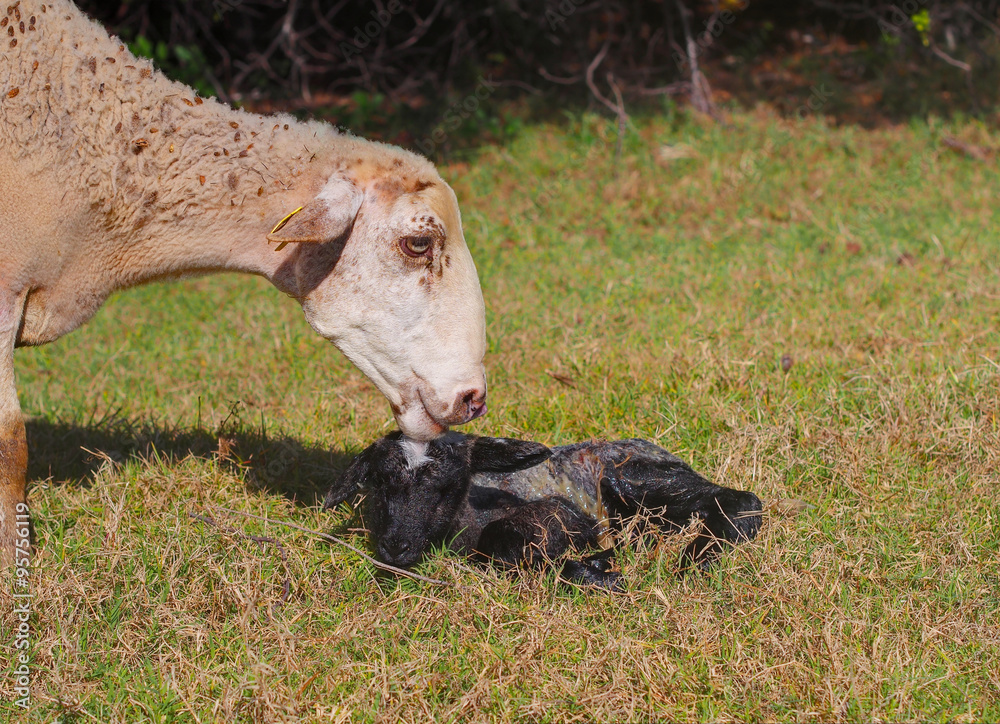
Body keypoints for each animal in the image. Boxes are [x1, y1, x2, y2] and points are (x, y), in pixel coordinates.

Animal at [324, 432, 763, 590]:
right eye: (380, 483)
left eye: (448, 485)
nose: (395, 547)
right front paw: (596, 568)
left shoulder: (562, 513)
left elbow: (501, 540)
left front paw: (594, 574)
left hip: (637, 477)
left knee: (742, 500)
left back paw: (698, 558)